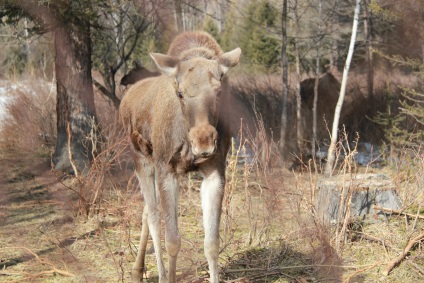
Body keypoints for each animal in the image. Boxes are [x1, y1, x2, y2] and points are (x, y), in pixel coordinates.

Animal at [120, 32, 242, 282]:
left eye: (219, 91)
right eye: (180, 93)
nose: (203, 141)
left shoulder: (215, 171)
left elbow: (212, 243)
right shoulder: (167, 170)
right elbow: (173, 241)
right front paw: (168, 276)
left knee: (147, 211)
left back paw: (138, 269)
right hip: (143, 160)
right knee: (153, 216)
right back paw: (155, 273)